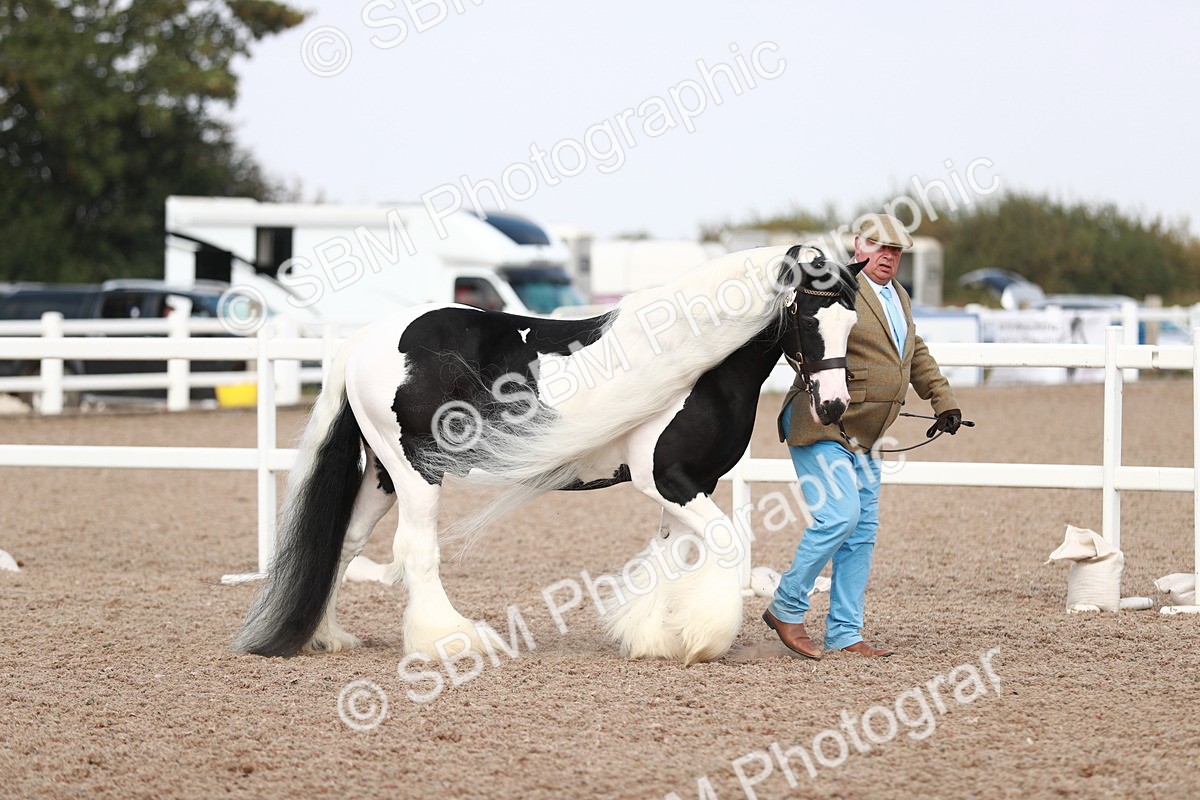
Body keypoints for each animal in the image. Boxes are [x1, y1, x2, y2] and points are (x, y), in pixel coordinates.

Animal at [234, 244, 864, 665]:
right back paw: (451, 643)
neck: (701, 366)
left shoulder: (691, 484)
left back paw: (328, 636)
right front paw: (704, 638)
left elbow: (672, 557)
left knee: (345, 542)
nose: (834, 405)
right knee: (415, 551)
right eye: (806, 315)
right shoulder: (667, 479)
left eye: (852, 317)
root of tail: (365, 340)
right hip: (417, 471)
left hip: (384, 475)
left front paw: (655, 635)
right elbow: (727, 545)